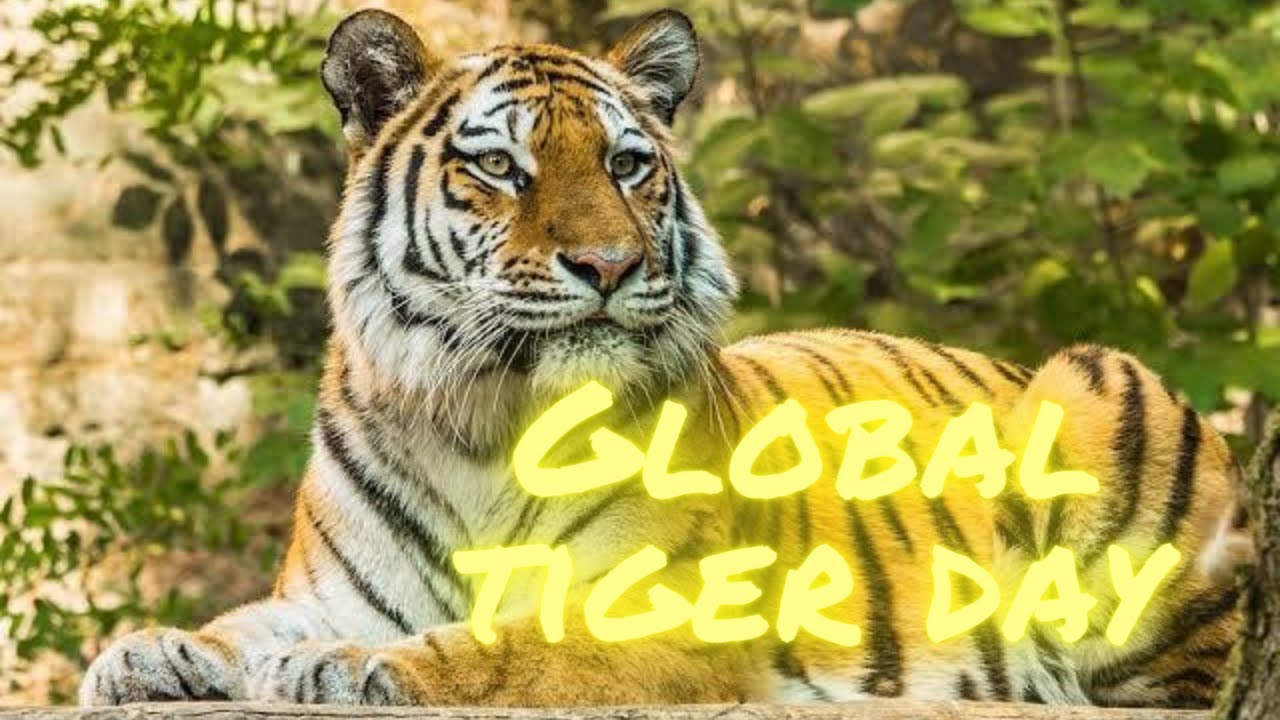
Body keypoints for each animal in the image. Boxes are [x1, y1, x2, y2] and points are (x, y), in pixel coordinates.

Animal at [79, 7, 1251, 709]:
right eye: (500, 168)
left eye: (626, 163)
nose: (608, 263)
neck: (486, 415)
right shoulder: (335, 583)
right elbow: (245, 621)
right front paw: (150, 649)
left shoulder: (671, 613)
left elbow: (509, 647)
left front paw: (348, 668)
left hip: (1100, 388)